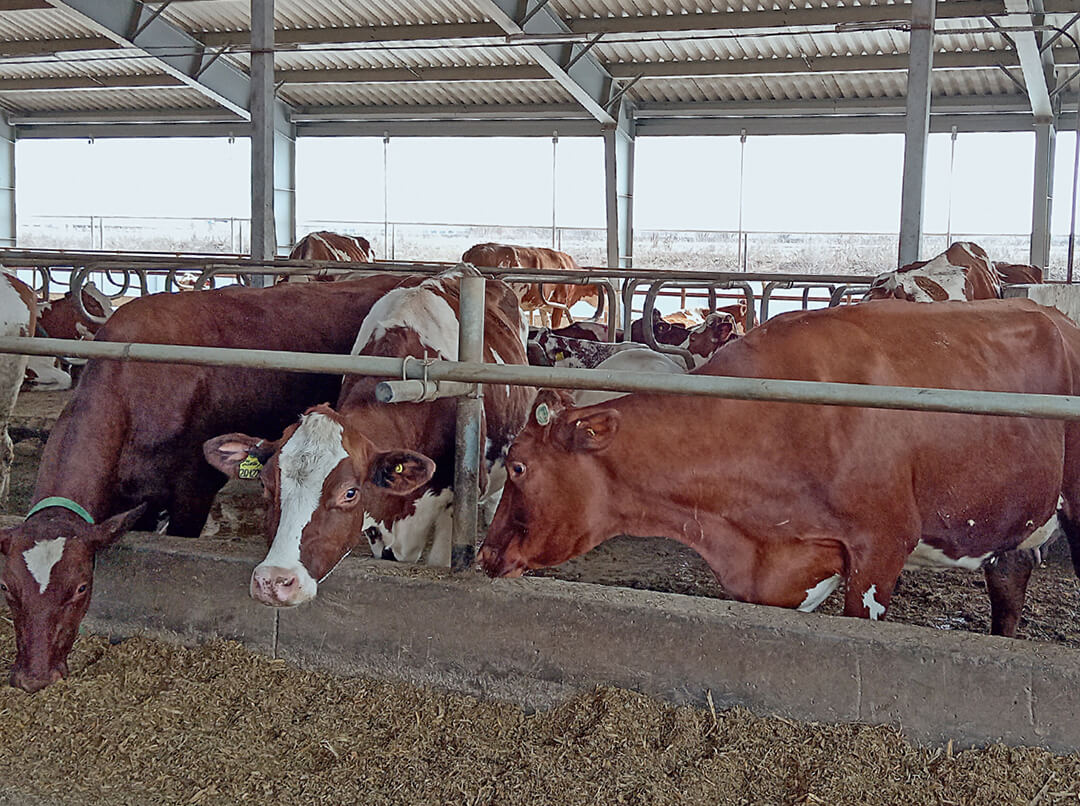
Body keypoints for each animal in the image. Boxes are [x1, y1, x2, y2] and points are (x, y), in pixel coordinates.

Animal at [0, 273, 406, 687]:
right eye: (6, 587)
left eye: (81, 586)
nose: (33, 677)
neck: (138, 388)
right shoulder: (137, 500)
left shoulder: (193, 492)